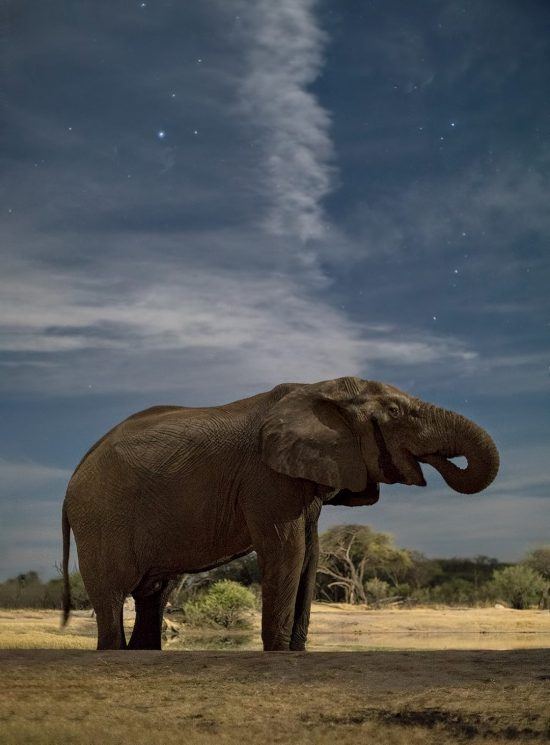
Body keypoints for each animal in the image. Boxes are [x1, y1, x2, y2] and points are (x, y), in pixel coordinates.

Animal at [61, 374, 500, 648]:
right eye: (394, 412)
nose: (439, 463)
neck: (320, 389)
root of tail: (73, 479)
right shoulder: (267, 478)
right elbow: (287, 553)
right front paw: (278, 650)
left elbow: (310, 555)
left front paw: (295, 650)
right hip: (101, 517)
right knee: (112, 598)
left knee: (154, 596)